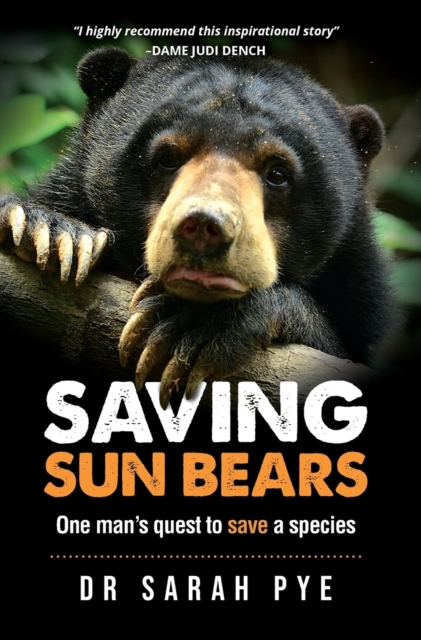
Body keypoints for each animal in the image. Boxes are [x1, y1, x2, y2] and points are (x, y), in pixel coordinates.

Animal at [0, 47, 392, 408]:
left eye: (278, 173)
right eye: (167, 158)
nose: (204, 227)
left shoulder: (359, 293)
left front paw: (188, 327)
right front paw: (53, 235)